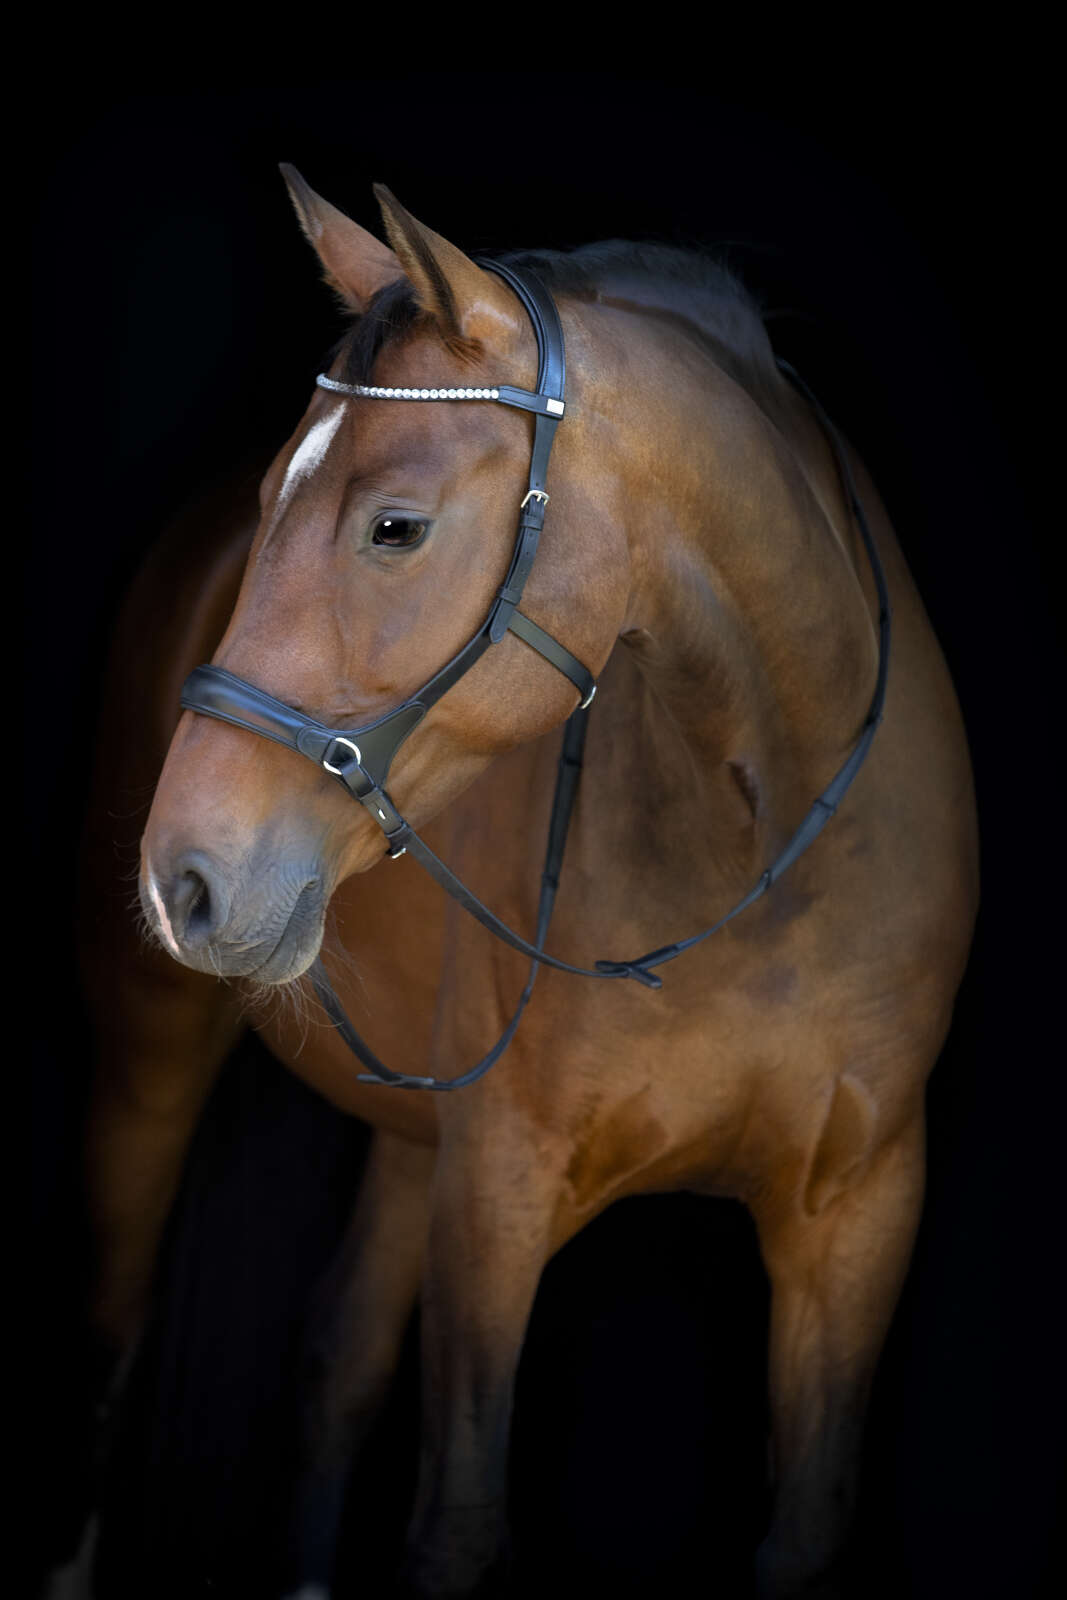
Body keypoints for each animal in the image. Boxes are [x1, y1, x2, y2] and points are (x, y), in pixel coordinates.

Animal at [75, 167, 979, 1597]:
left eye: (395, 527)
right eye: (273, 496)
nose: (186, 880)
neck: (761, 847)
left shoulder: (861, 1212)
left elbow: (802, 1524)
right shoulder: (495, 1195)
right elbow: (456, 1517)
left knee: (334, 1360)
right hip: (151, 1054)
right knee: (114, 1350)